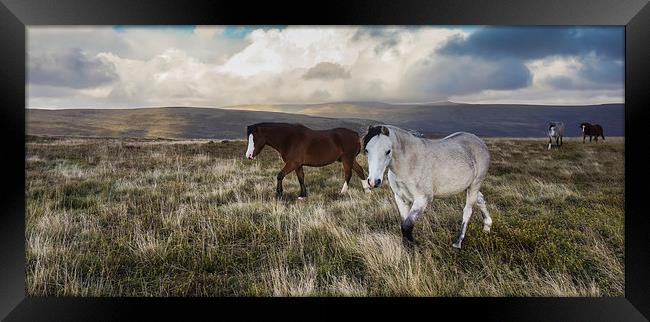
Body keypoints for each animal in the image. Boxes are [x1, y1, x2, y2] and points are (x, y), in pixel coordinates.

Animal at [360, 124, 492, 248]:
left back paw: (458, 242)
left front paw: (414, 248)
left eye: (388, 151)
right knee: (480, 199)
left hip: (475, 184)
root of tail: (479, 142)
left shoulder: (422, 199)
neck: (409, 163)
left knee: (468, 210)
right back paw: (487, 227)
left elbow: (407, 226)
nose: (373, 181)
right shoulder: (401, 199)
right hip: (467, 186)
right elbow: (403, 224)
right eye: (367, 150)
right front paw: (406, 248)